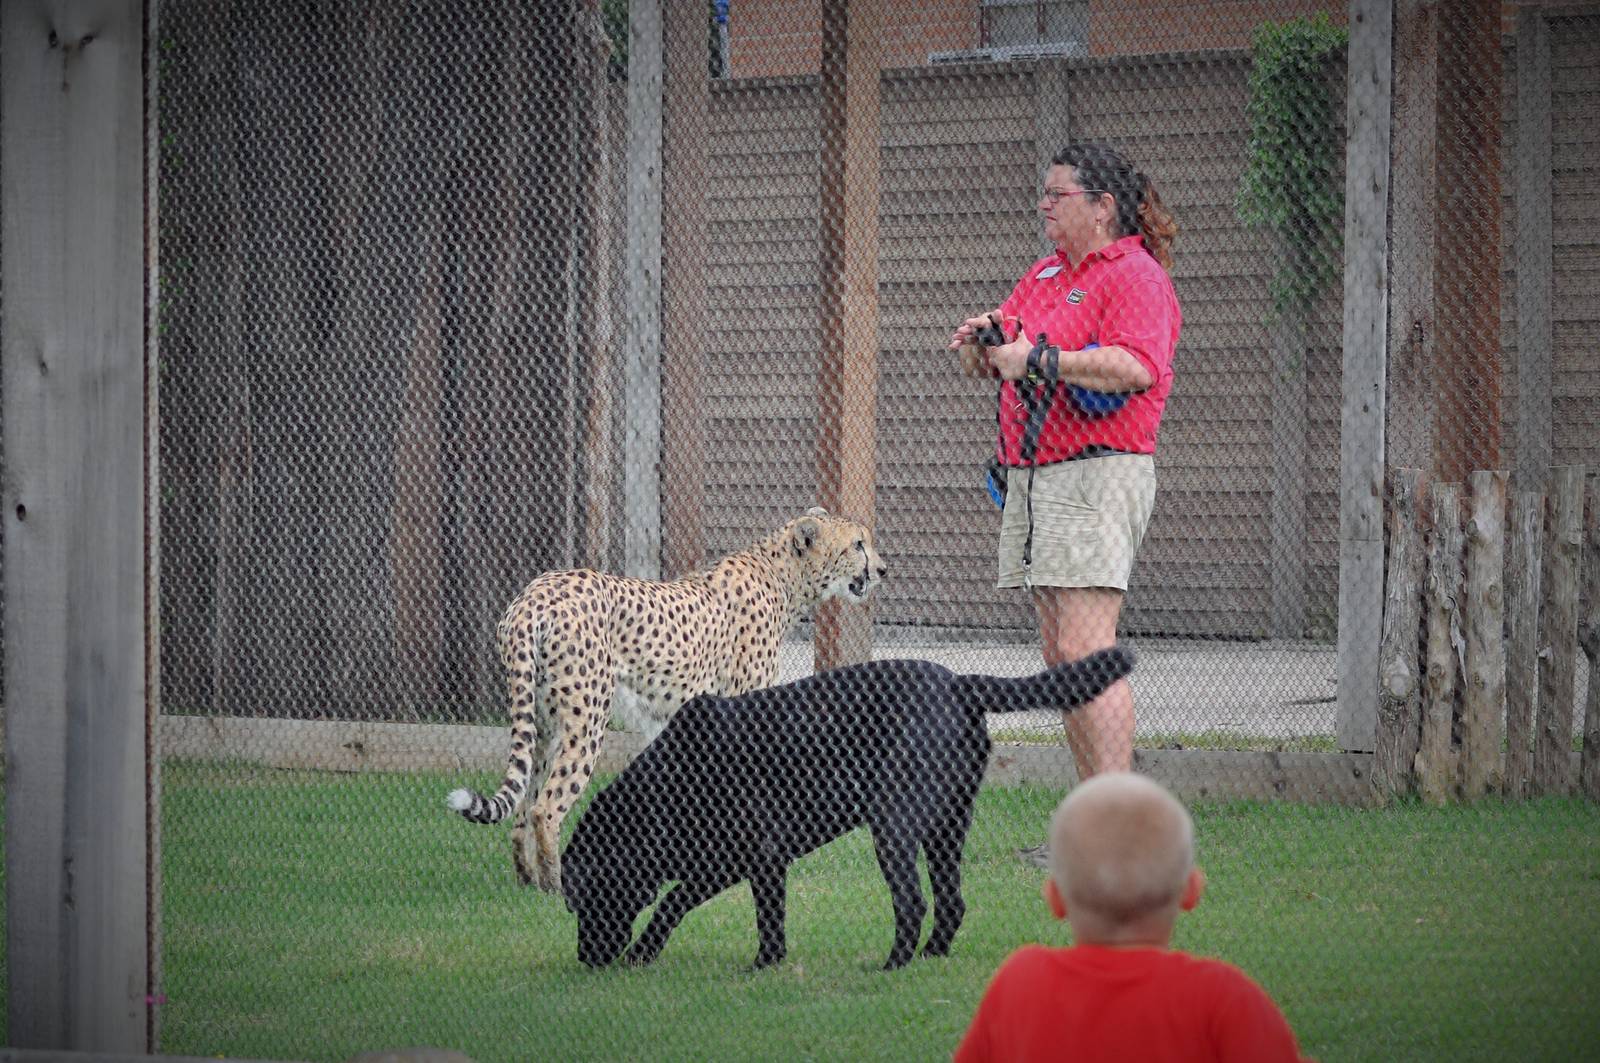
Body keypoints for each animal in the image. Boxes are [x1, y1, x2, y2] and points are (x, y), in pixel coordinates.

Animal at [447, 507, 886, 892]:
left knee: (524, 803)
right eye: (858, 544)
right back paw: (556, 887)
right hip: (586, 721)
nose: (882, 570)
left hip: (543, 723)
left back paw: (528, 884)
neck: (783, 576)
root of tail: (535, 594)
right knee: (545, 807)